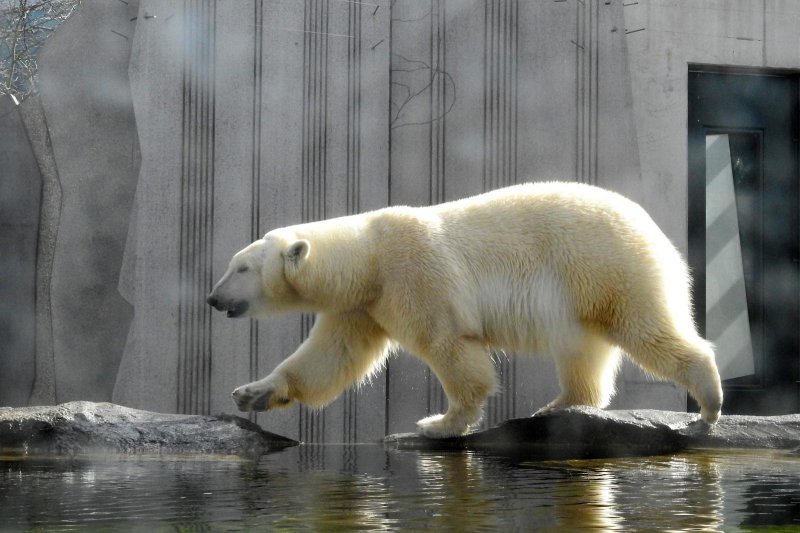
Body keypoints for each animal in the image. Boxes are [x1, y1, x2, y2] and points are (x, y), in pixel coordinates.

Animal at [208, 181, 724, 434]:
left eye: (240, 267)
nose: (212, 298)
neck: (369, 255)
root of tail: (655, 233)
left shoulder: (414, 275)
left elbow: (449, 346)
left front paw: (438, 423)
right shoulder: (364, 304)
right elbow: (331, 356)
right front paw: (253, 393)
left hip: (605, 266)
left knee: (645, 328)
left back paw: (709, 402)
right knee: (583, 351)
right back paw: (557, 404)